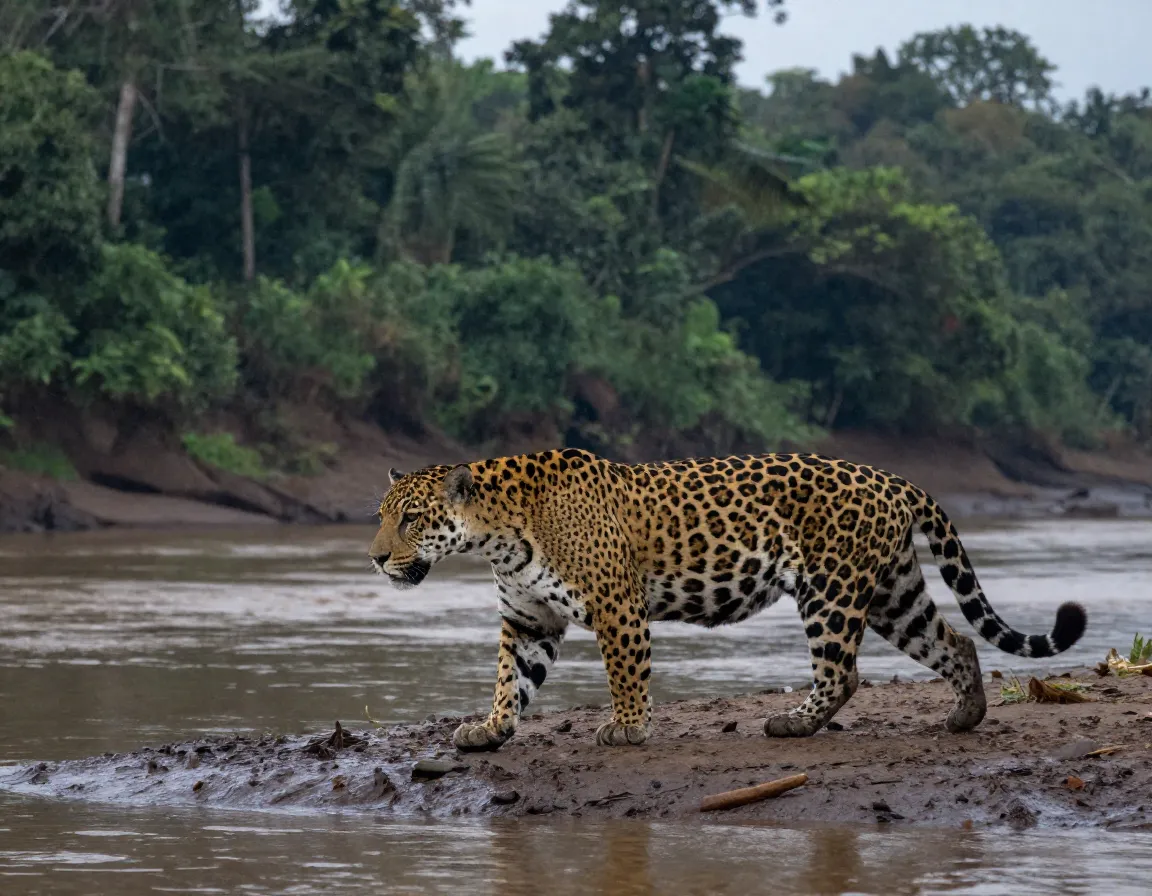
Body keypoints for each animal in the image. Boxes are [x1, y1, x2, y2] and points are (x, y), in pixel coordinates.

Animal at [369, 448, 1086, 751]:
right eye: (381, 516)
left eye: (410, 518)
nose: (375, 556)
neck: (499, 531)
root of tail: (892, 476)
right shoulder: (526, 618)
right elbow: (509, 679)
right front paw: (490, 729)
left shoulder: (617, 606)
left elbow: (625, 673)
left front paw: (628, 729)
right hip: (891, 592)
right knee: (954, 640)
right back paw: (966, 714)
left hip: (831, 588)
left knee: (843, 671)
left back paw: (793, 723)